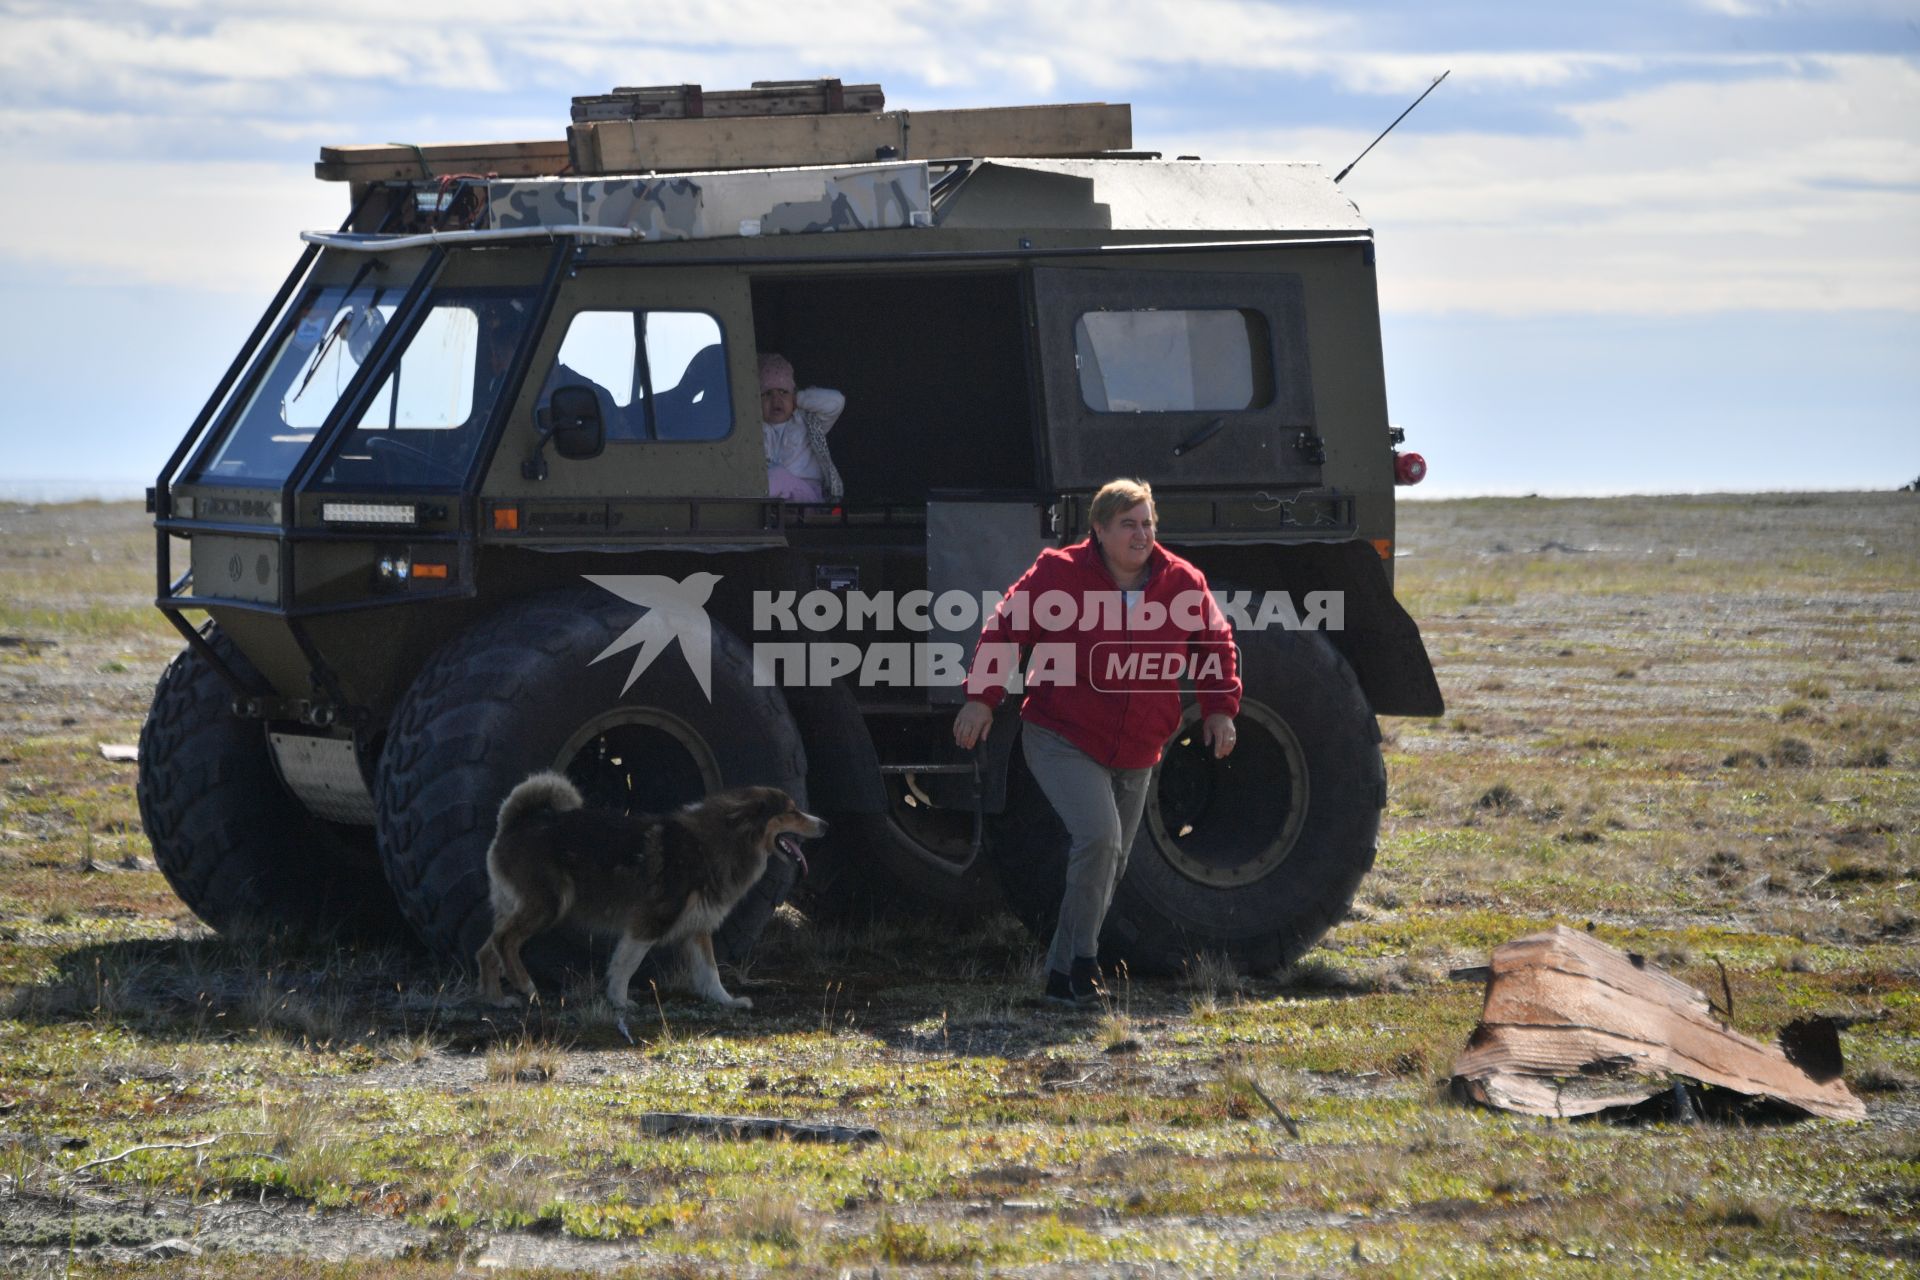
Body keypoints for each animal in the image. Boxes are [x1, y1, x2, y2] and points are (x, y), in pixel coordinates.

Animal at [476, 775, 821, 1013]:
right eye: (792, 812)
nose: (826, 824)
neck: (720, 839)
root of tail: (515, 821)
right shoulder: (650, 922)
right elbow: (626, 963)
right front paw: (619, 1001)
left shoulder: (697, 929)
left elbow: (710, 974)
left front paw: (728, 1001)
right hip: (549, 904)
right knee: (504, 941)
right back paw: (525, 984)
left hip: (514, 906)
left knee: (487, 950)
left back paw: (497, 1000)